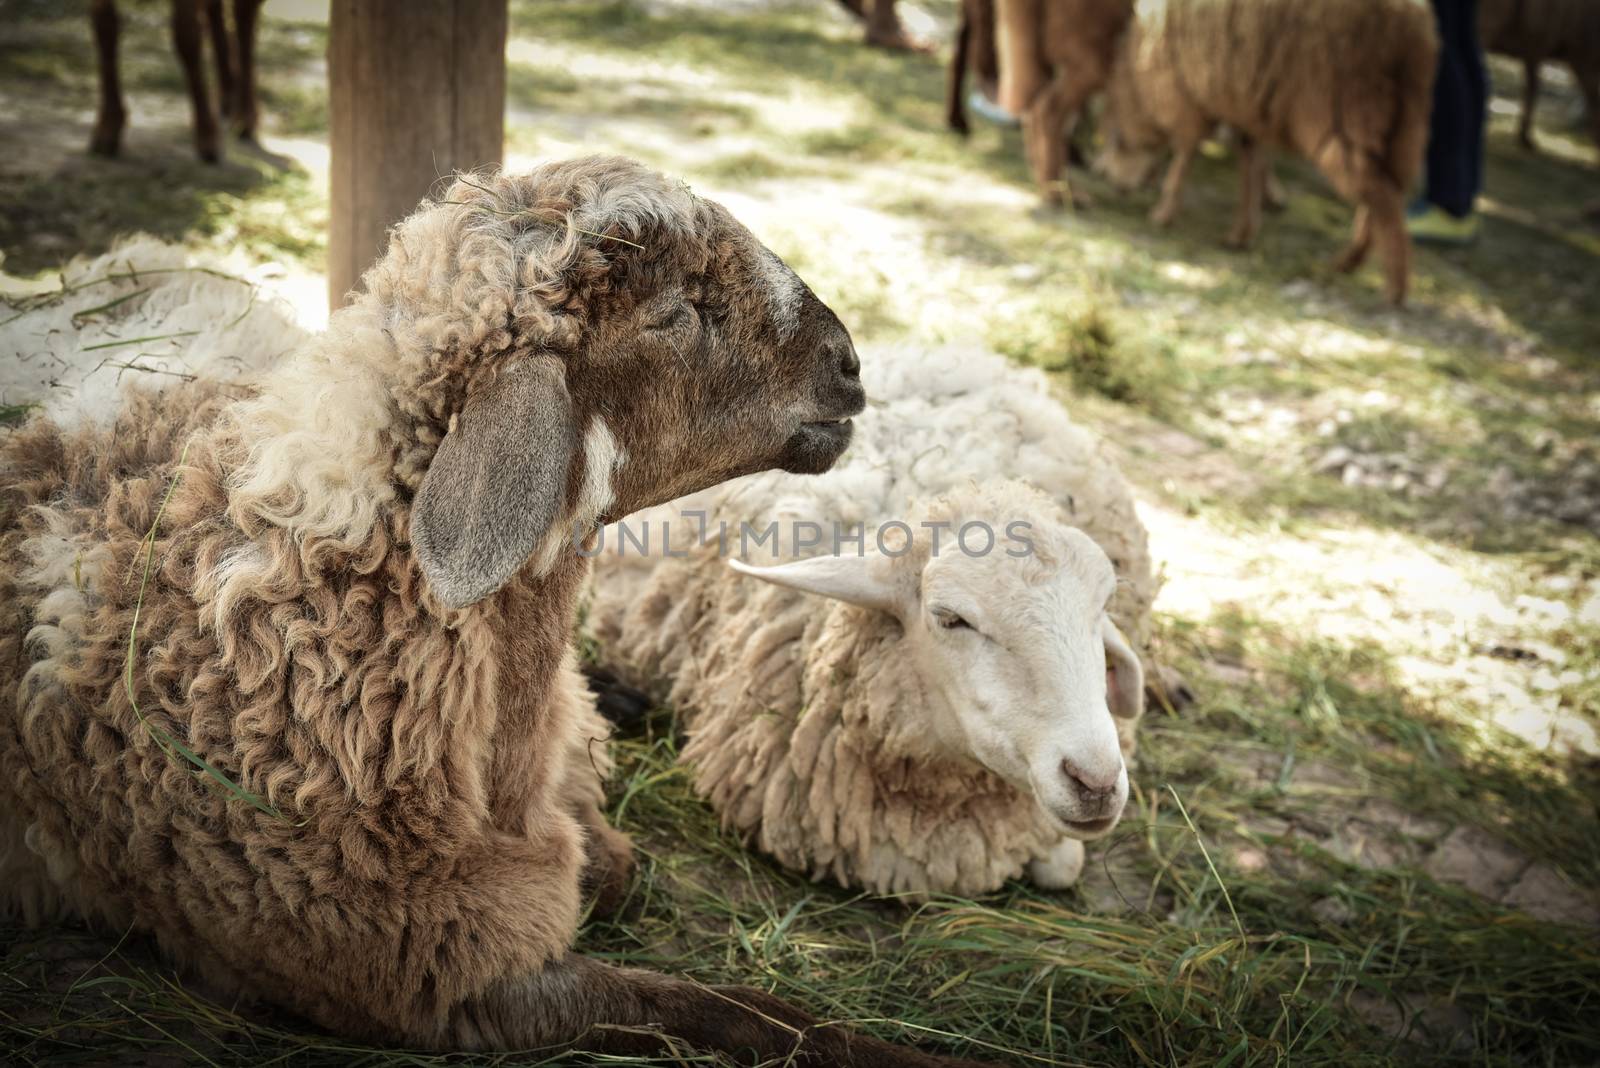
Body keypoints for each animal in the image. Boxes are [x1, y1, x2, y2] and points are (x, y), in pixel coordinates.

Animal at [1100, 0, 1440, 306]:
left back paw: (1394, 289)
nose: (1111, 180)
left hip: (1343, 110)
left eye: (1116, 139)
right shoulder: (1246, 105)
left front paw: (1164, 212)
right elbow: (1251, 161)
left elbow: (1186, 154)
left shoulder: (1183, 93)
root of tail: (1411, 31)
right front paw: (1243, 232)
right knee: (1388, 190)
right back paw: (1350, 261)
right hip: (1406, 123)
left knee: (1380, 195)